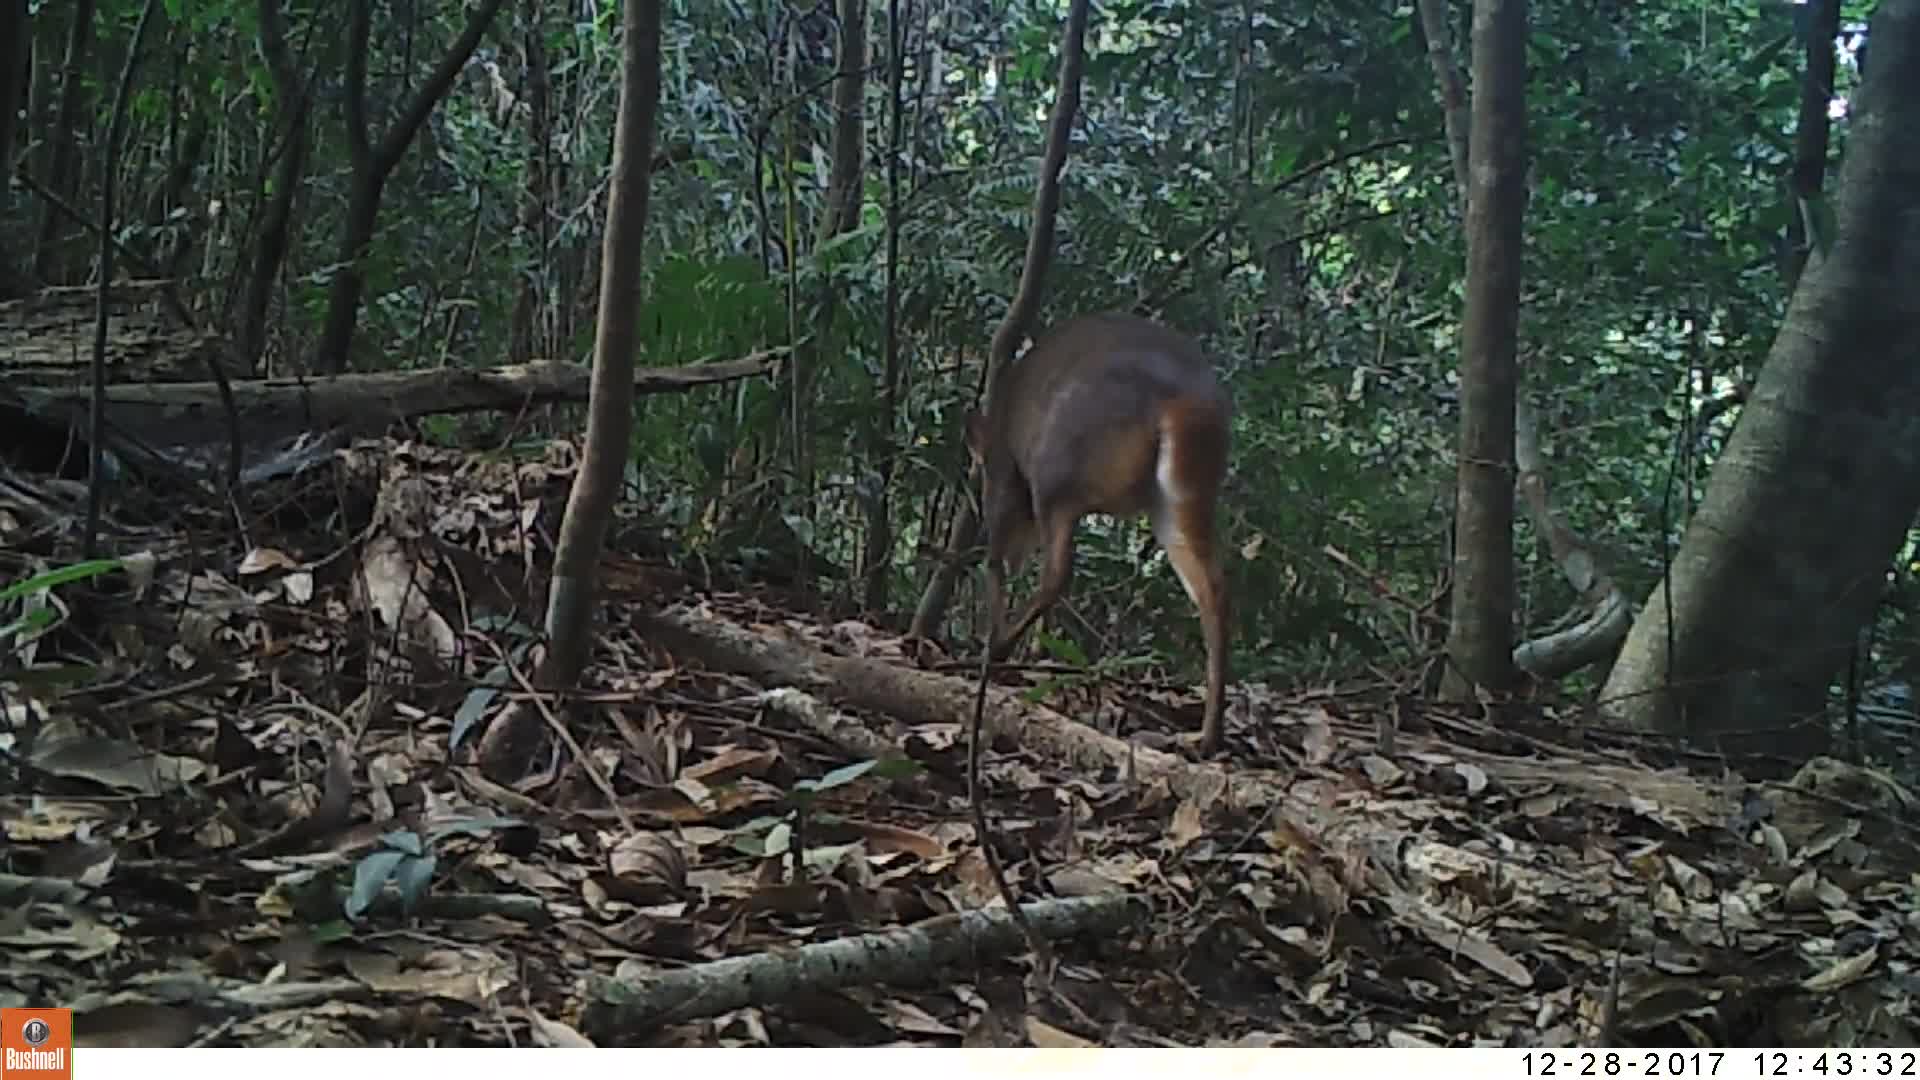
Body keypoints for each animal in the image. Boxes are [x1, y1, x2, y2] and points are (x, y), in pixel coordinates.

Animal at [967, 307, 1236, 753]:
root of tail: (1185, 401)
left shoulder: (1005, 473)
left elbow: (995, 558)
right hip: (1180, 496)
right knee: (1213, 587)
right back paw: (1206, 736)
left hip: (1057, 471)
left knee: (1057, 571)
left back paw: (998, 650)